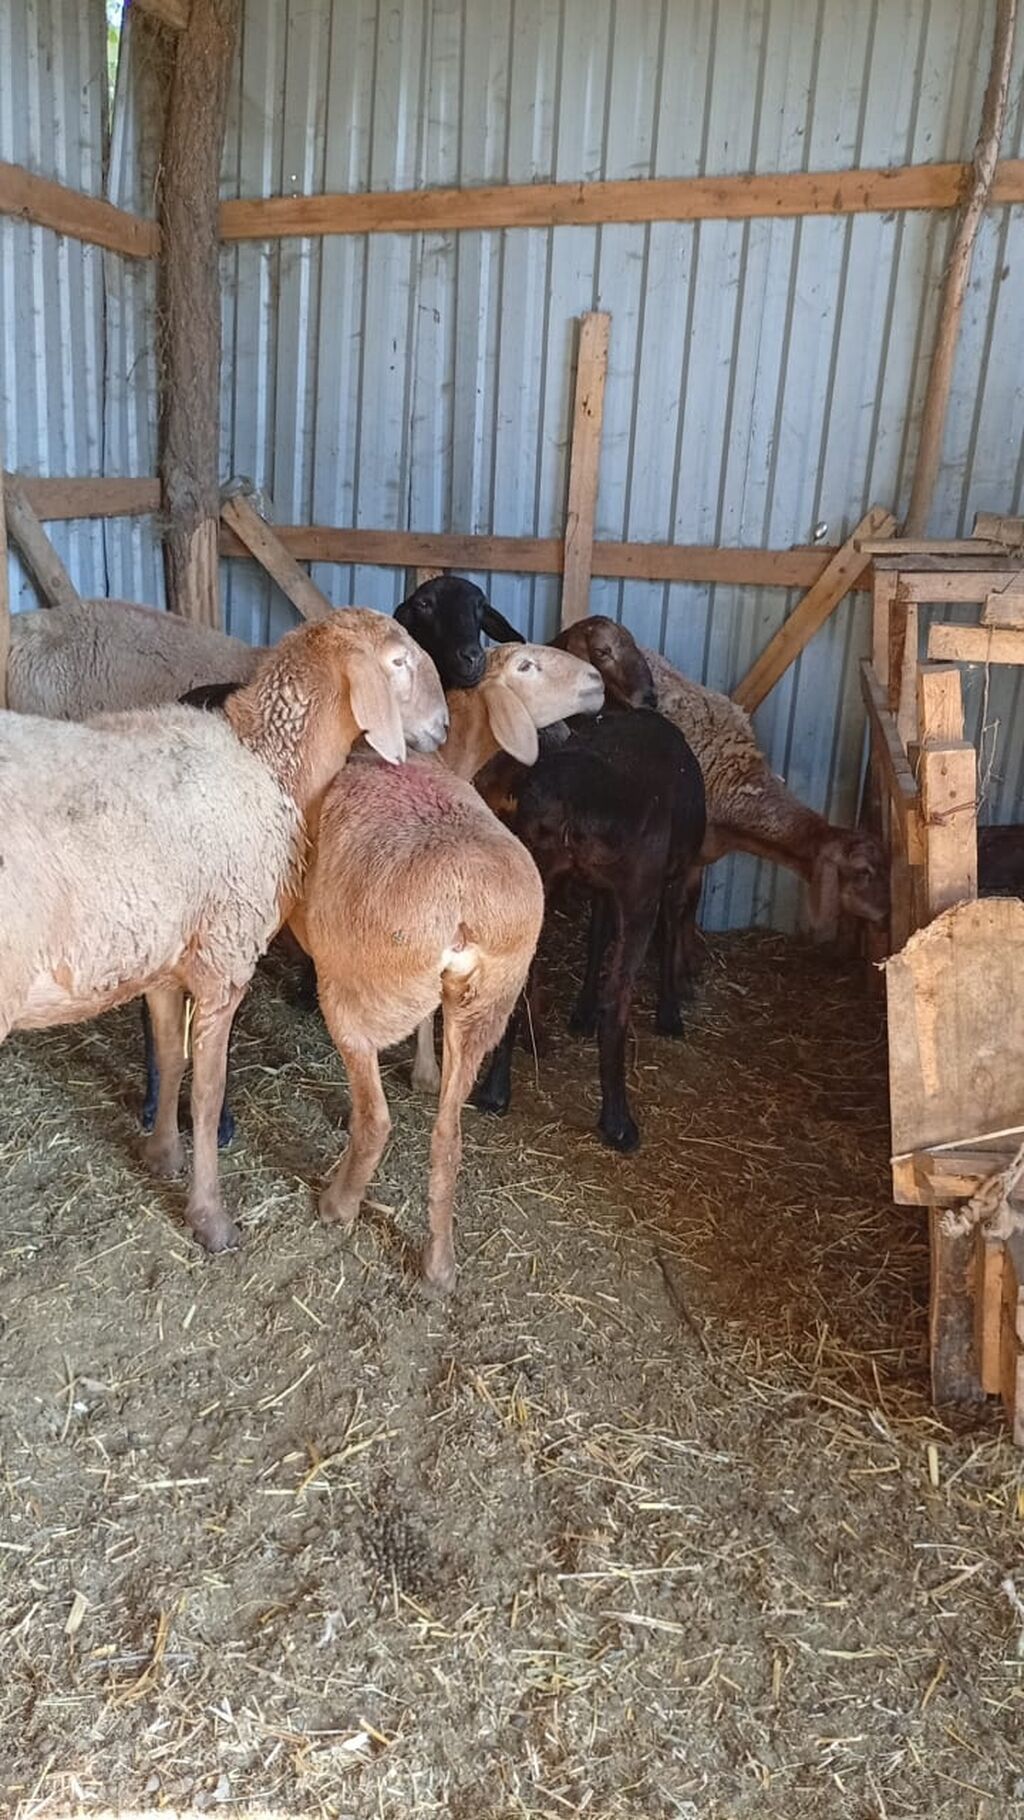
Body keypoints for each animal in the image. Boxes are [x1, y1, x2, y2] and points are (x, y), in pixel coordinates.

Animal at [0, 610, 448, 1251]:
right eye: (398, 662)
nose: (443, 725)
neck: (267, 765)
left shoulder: (165, 961)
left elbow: (169, 1058)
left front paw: (161, 1154)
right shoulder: (225, 959)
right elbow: (208, 1097)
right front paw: (210, 1217)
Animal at [290, 641, 603, 1291]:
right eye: (527, 665)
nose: (597, 681)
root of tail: (464, 908)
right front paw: (427, 1074)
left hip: (362, 989)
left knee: (377, 1120)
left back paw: (339, 1204)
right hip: (490, 998)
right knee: (447, 1136)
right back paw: (439, 1265)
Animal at [473, 707, 707, 1153]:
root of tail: (570, 802)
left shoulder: (601, 888)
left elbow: (596, 937)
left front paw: (580, 1010)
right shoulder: (666, 878)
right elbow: (669, 934)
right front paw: (670, 1013)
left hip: (534, 875)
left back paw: (494, 1092)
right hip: (639, 891)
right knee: (617, 1001)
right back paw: (618, 1122)